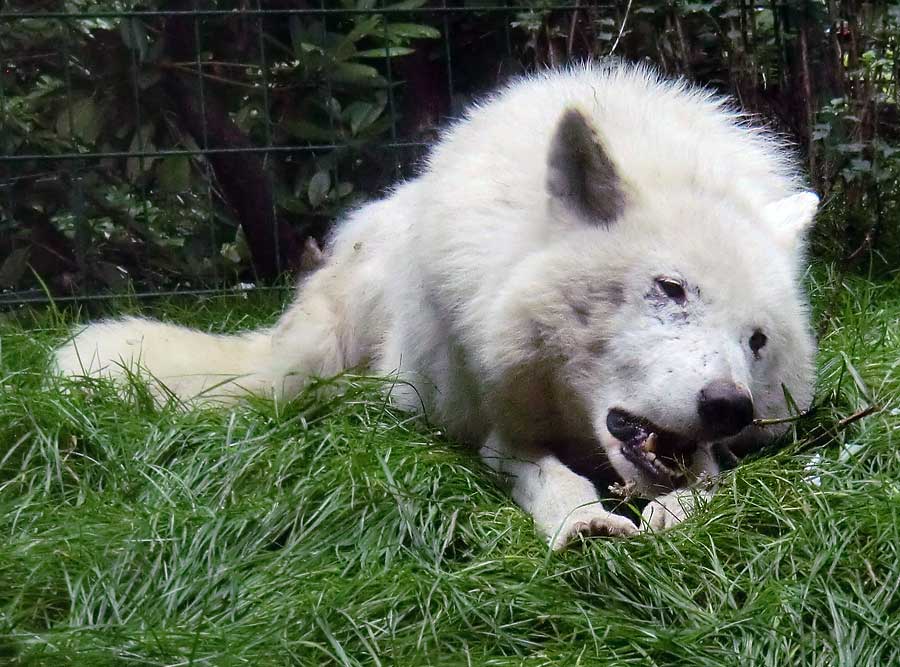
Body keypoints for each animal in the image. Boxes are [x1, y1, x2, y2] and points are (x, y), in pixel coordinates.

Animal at [54, 64, 816, 548]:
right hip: (319, 357)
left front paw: (676, 511)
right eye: (670, 288)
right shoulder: (499, 434)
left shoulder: (700, 455)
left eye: (756, 341)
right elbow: (554, 481)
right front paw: (583, 525)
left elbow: (704, 485)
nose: (729, 406)